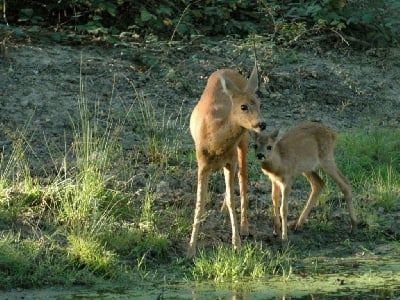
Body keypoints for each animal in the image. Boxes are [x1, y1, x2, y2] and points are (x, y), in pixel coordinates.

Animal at [188, 65, 268, 258]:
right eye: (243, 106)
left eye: (259, 103)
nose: (262, 123)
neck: (215, 142)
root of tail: (227, 70)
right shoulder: (202, 162)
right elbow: (199, 203)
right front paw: (191, 249)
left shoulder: (229, 160)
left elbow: (233, 199)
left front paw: (236, 244)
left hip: (244, 140)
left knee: (243, 176)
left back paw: (244, 227)